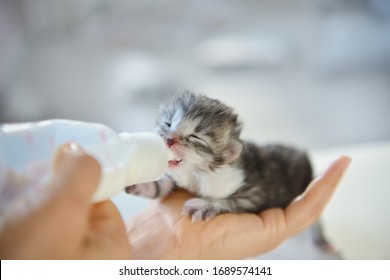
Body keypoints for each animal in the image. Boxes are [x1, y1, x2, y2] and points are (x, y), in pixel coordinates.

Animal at [126, 91, 312, 221]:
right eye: (168, 124)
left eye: (195, 137)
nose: (169, 139)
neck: (196, 173)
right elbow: (163, 185)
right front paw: (140, 181)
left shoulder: (254, 191)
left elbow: (233, 201)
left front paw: (205, 205)